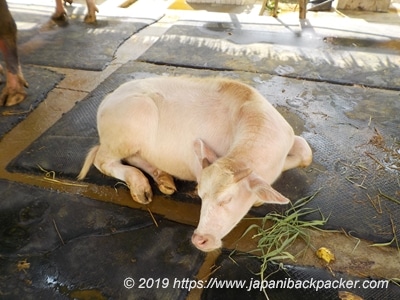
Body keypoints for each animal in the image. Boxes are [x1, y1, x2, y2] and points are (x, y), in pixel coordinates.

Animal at [77, 76, 312, 252]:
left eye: (227, 199)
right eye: (200, 196)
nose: (200, 239)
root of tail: (109, 98)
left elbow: (306, 153)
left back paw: (163, 179)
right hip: (131, 125)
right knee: (103, 160)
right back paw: (140, 186)